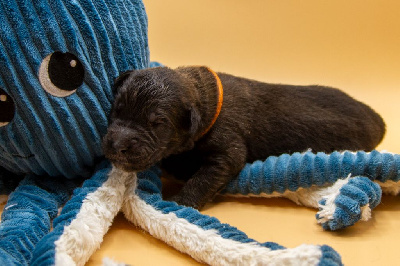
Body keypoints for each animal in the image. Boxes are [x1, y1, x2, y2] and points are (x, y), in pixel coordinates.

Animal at [102, 65, 384, 209]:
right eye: (117, 109)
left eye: (158, 124)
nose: (117, 144)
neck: (207, 97)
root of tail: (377, 120)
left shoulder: (228, 149)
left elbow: (203, 179)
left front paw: (181, 202)